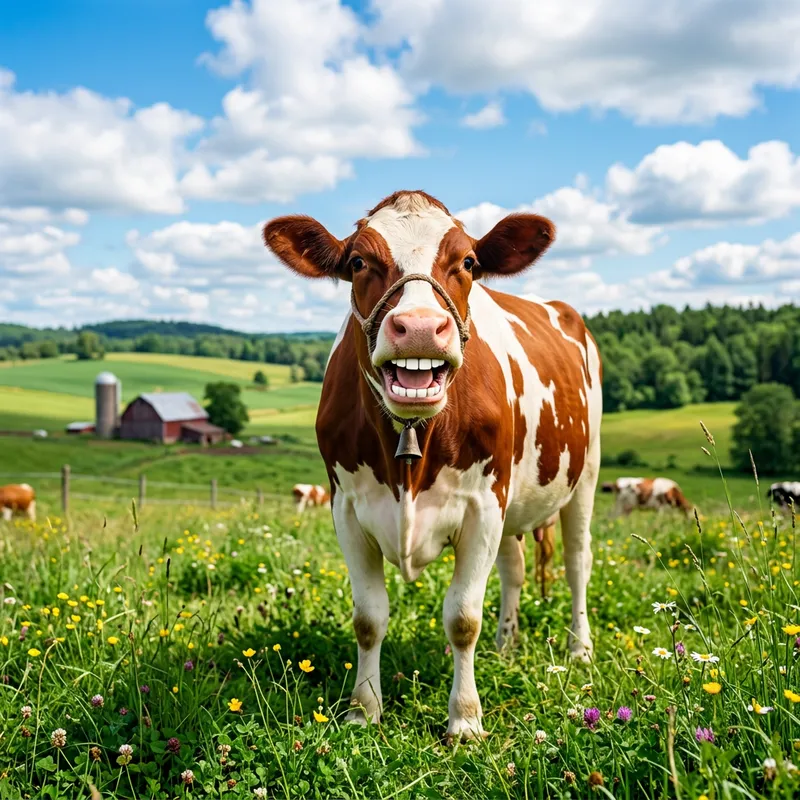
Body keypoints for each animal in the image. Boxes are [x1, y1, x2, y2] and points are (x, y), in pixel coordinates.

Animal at [263, 190, 602, 741]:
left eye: (468, 262)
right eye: (359, 262)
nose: (421, 327)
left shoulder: (483, 504)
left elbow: (462, 618)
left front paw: (464, 720)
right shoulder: (347, 508)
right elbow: (368, 618)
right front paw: (364, 710)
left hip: (584, 478)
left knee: (578, 563)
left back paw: (580, 649)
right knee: (514, 568)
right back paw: (506, 646)